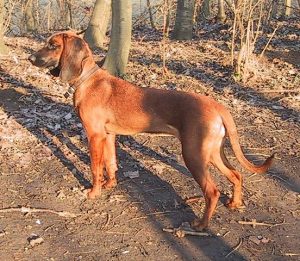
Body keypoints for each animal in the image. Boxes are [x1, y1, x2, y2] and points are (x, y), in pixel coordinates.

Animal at [28, 31, 274, 229]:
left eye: (53, 45)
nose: (29, 58)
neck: (88, 80)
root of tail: (218, 106)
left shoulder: (94, 136)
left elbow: (95, 168)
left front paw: (94, 192)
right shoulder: (108, 135)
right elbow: (110, 163)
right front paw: (110, 185)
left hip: (193, 155)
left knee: (212, 191)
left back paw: (201, 224)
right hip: (213, 153)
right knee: (236, 175)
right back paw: (234, 203)